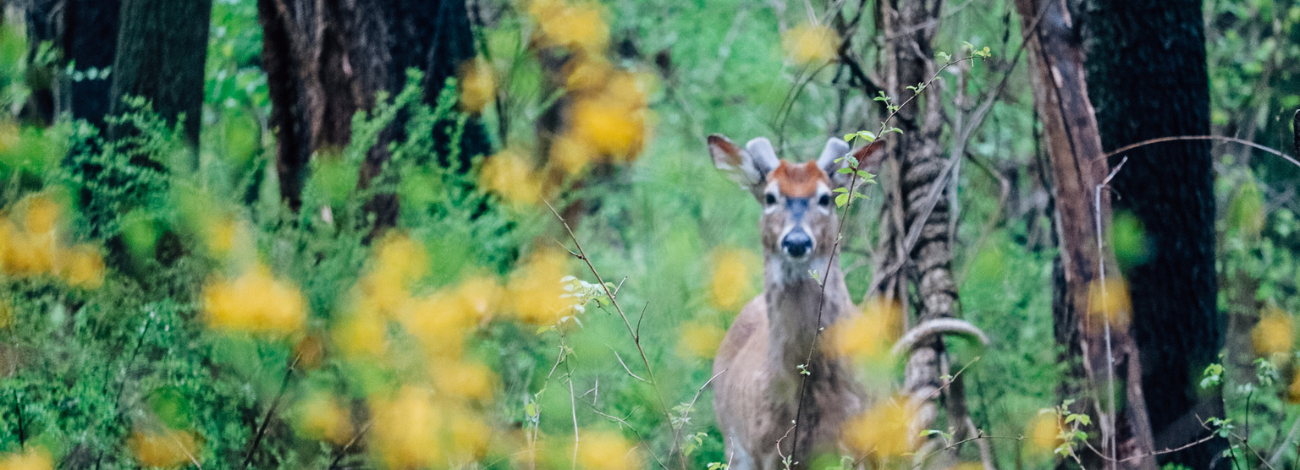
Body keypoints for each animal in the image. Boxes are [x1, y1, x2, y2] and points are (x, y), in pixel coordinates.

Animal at [707, 132, 987, 470]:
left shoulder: (861, 447)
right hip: (734, 446)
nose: (797, 241)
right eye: (770, 197)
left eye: (825, 197)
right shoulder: (767, 450)